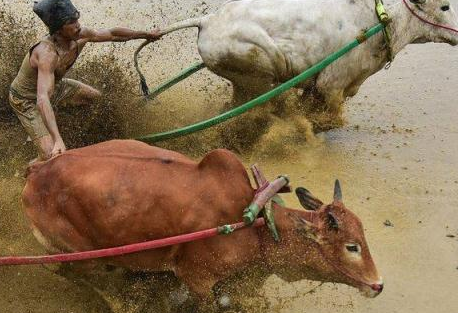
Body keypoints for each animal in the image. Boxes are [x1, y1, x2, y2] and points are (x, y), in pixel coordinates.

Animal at [22, 140, 382, 308]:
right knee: (72, 273)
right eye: (352, 246)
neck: (255, 224)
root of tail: (37, 173)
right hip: (79, 255)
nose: (378, 285)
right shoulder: (197, 279)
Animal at [147, 0, 458, 130]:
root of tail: (207, 20)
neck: (382, 24)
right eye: (444, 6)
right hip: (260, 73)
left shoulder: (322, 87)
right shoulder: (331, 85)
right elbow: (330, 118)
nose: (457, 34)